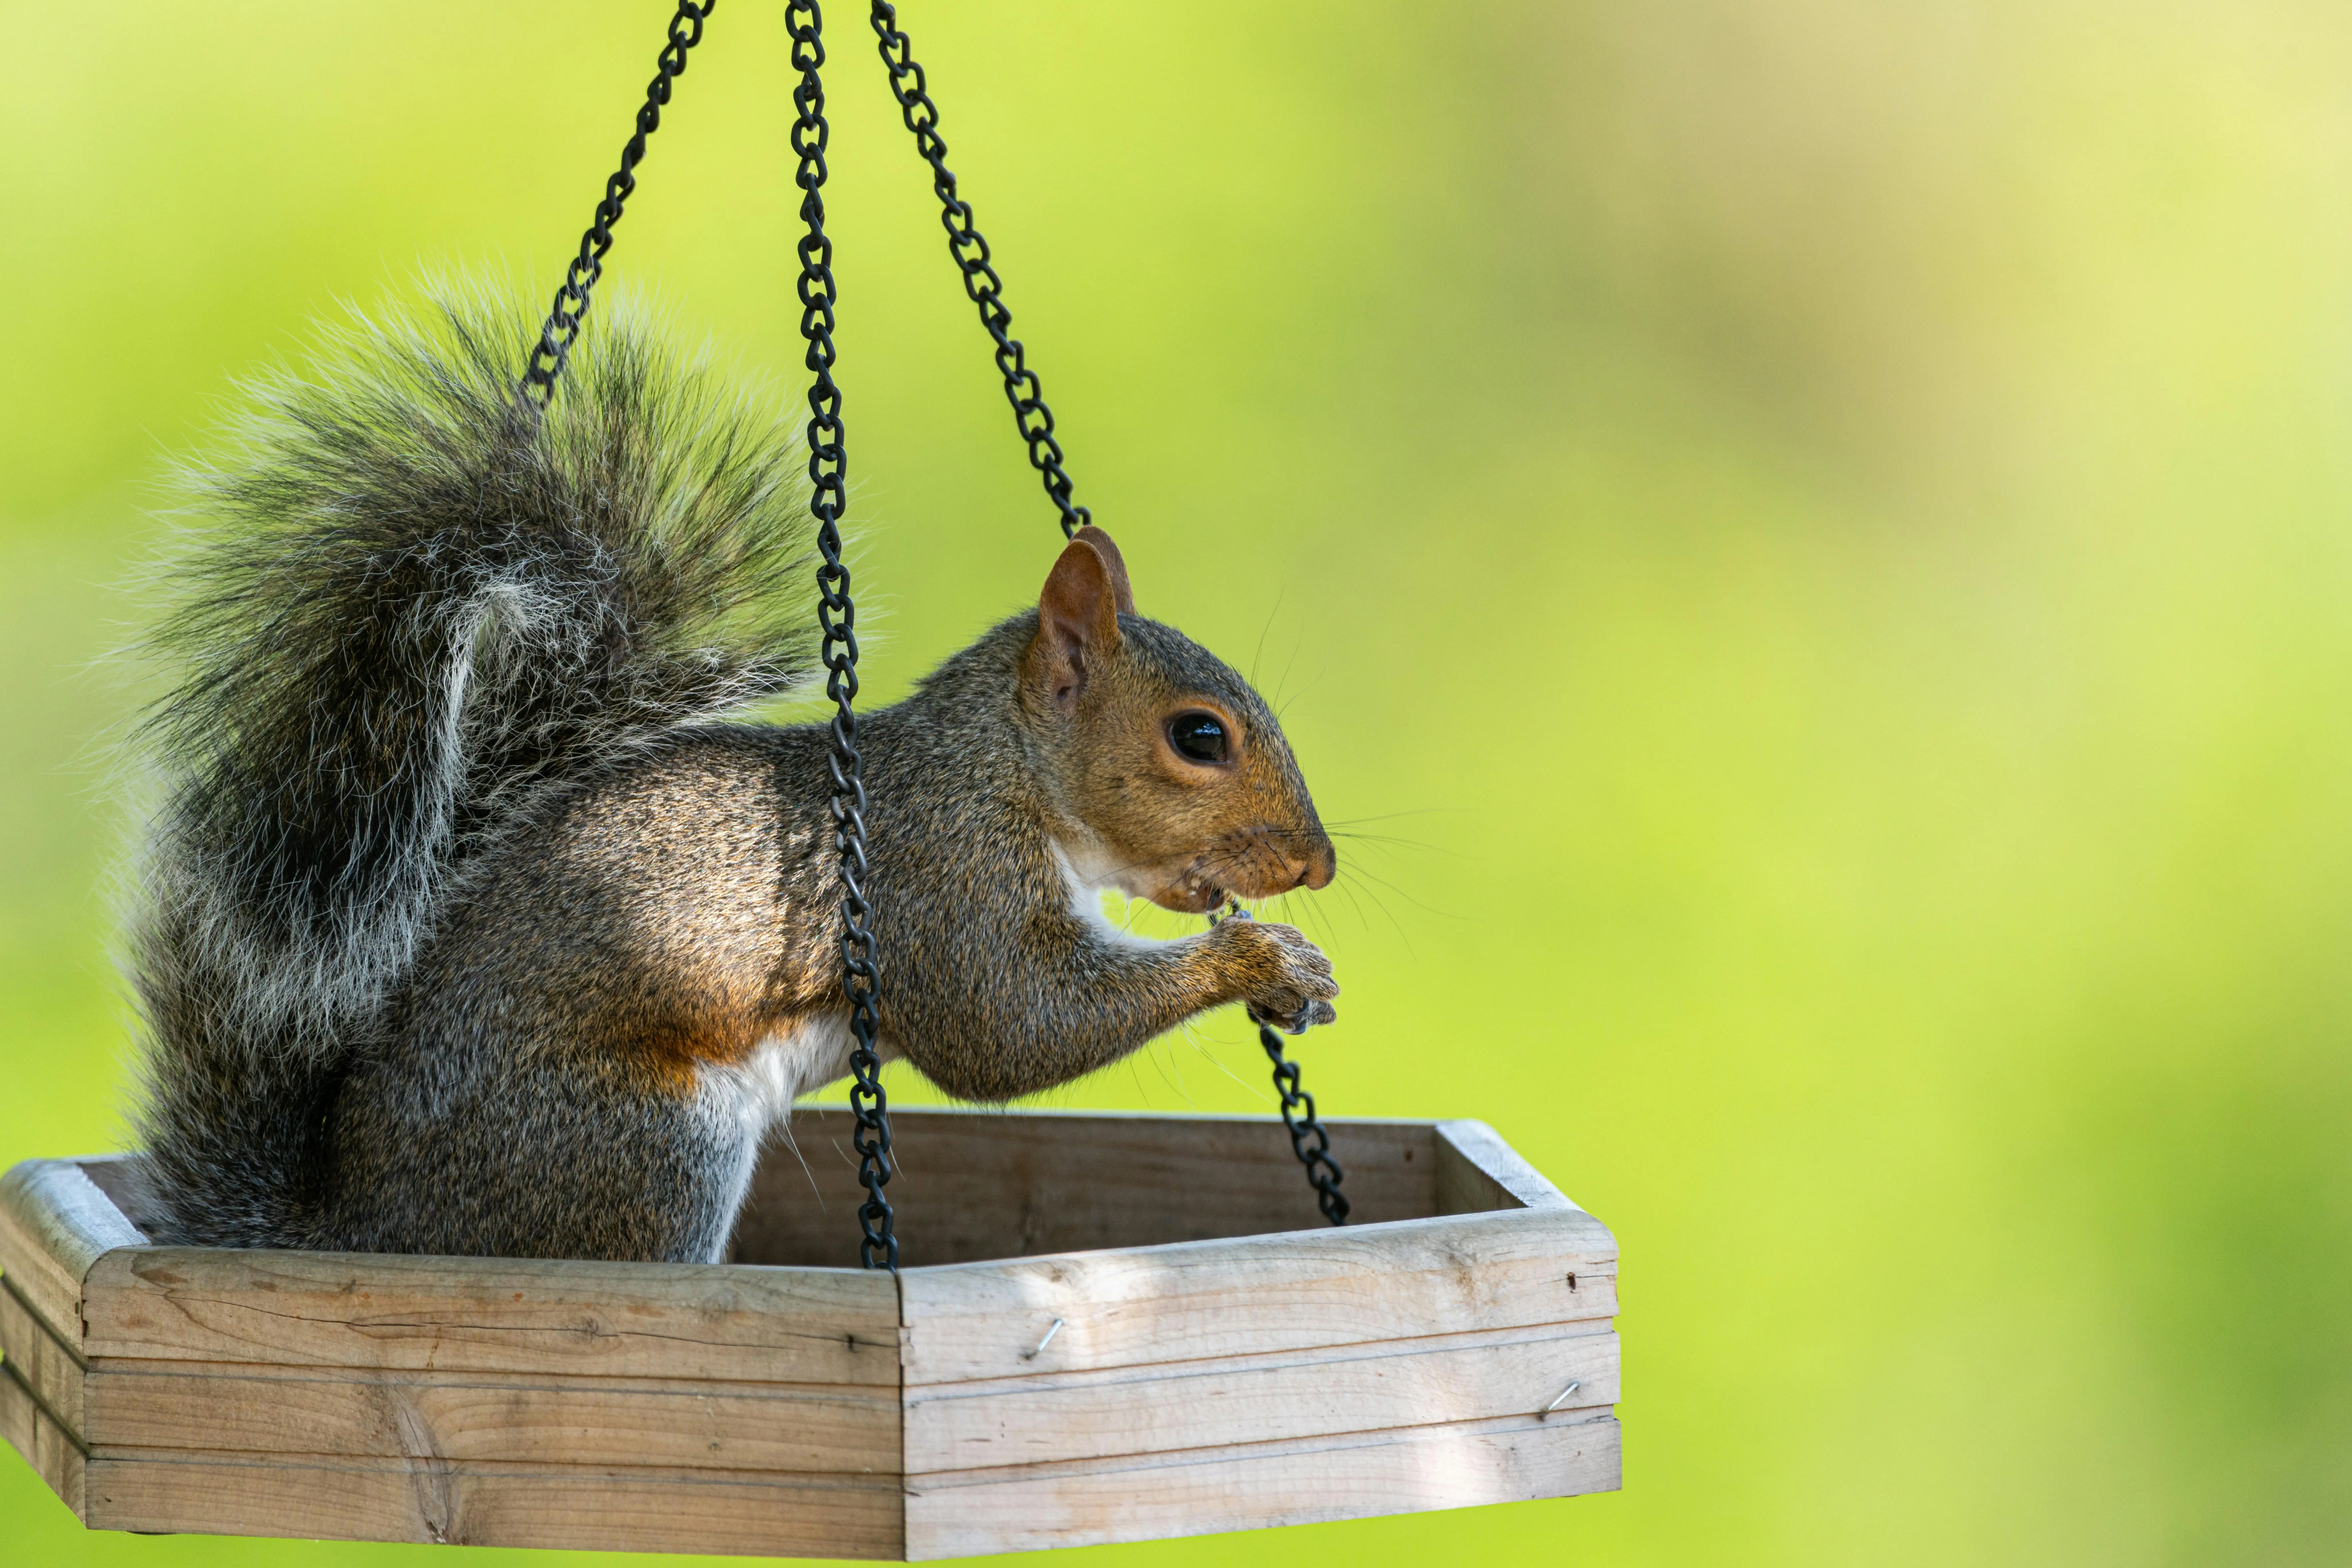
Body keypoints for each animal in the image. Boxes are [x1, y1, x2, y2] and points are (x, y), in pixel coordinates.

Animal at [126, 289, 1340, 1264]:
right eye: (1198, 737)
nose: (1319, 865)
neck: (1002, 770)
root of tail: (360, 1228)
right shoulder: (941, 881)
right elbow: (1005, 1029)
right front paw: (1257, 957)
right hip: (652, 1145)